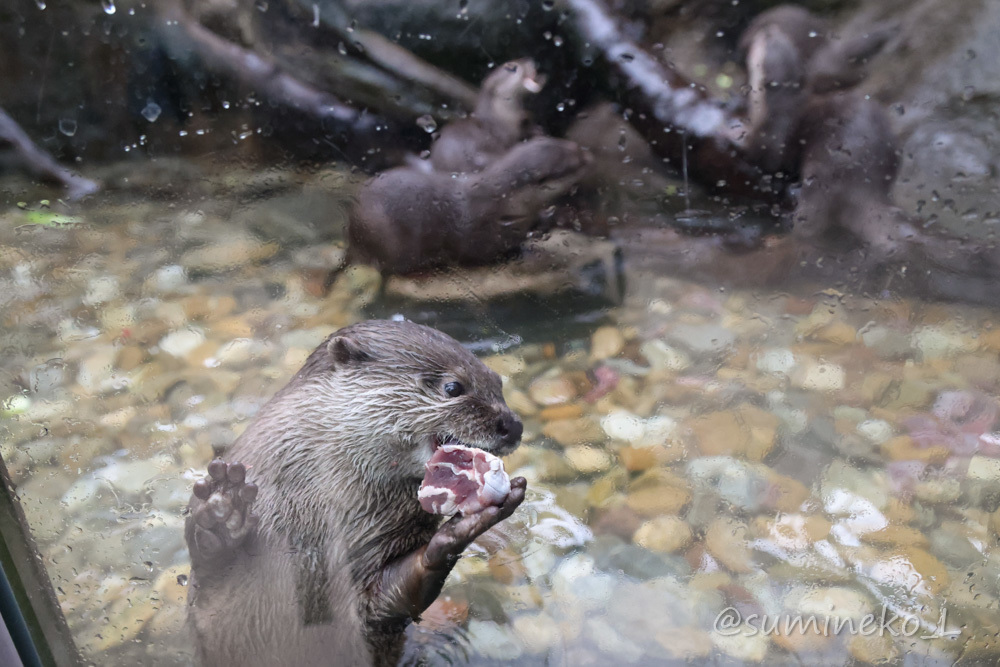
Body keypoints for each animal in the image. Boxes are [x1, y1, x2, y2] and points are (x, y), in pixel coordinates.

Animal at [188, 320, 532, 664]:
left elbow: (398, 597)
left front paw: (459, 532)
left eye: (498, 382)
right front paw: (223, 514)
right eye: (453, 387)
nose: (513, 426)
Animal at [348, 136, 588, 274]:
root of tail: (352, 234)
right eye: (571, 166)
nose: (588, 155)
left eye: (571, 145)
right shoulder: (482, 234)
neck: (506, 203)